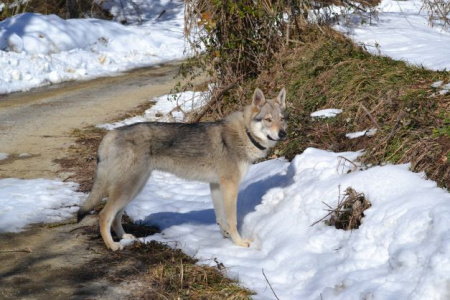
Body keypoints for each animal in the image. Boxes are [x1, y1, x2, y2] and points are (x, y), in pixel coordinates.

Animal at [77, 87, 286, 251]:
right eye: (268, 120)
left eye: (282, 119)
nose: (283, 133)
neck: (245, 133)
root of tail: (111, 133)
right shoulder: (230, 186)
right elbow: (232, 220)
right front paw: (239, 243)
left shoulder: (216, 186)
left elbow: (221, 219)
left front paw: (225, 238)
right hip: (128, 188)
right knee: (104, 215)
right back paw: (112, 245)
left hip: (134, 188)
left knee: (116, 216)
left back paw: (124, 237)